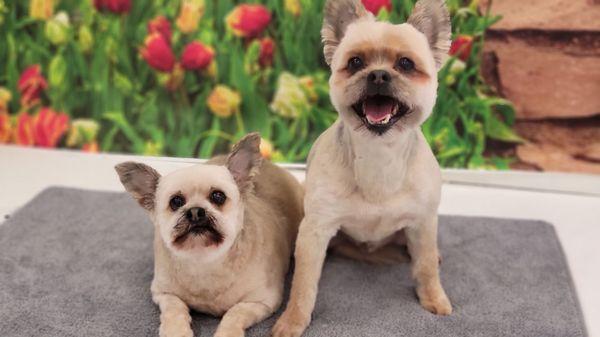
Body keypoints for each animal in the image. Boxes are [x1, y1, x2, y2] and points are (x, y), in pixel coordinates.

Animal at [116, 133, 304, 336]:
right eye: (176, 201)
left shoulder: (261, 301)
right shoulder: (163, 294)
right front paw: (176, 330)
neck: (204, 260)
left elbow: (234, 313)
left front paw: (227, 332)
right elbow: (174, 309)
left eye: (218, 196)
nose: (195, 211)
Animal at [270, 1, 450, 334]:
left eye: (406, 64)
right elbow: (303, 284)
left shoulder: (422, 222)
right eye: (355, 62)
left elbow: (426, 266)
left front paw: (433, 298)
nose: (378, 75)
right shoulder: (316, 229)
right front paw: (293, 320)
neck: (378, 158)